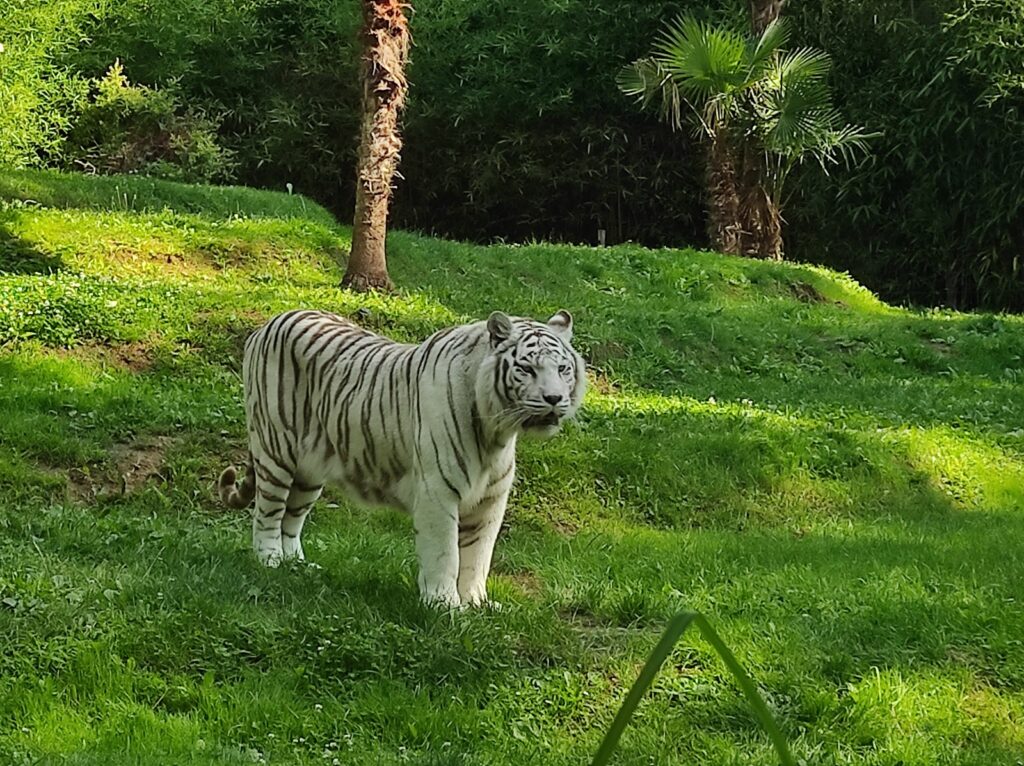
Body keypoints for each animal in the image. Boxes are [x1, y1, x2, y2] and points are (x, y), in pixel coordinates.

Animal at [218, 307, 585, 606]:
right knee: (268, 514)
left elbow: (478, 556)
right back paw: (269, 561)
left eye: (563, 368)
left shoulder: (490, 501)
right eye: (526, 369)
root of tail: (270, 322)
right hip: (276, 450)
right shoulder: (438, 492)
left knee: (291, 519)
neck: (496, 432)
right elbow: (446, 554)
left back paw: (295, 565)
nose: (554, 399)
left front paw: (477, 604)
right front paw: (445, 606)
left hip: (310, 471)